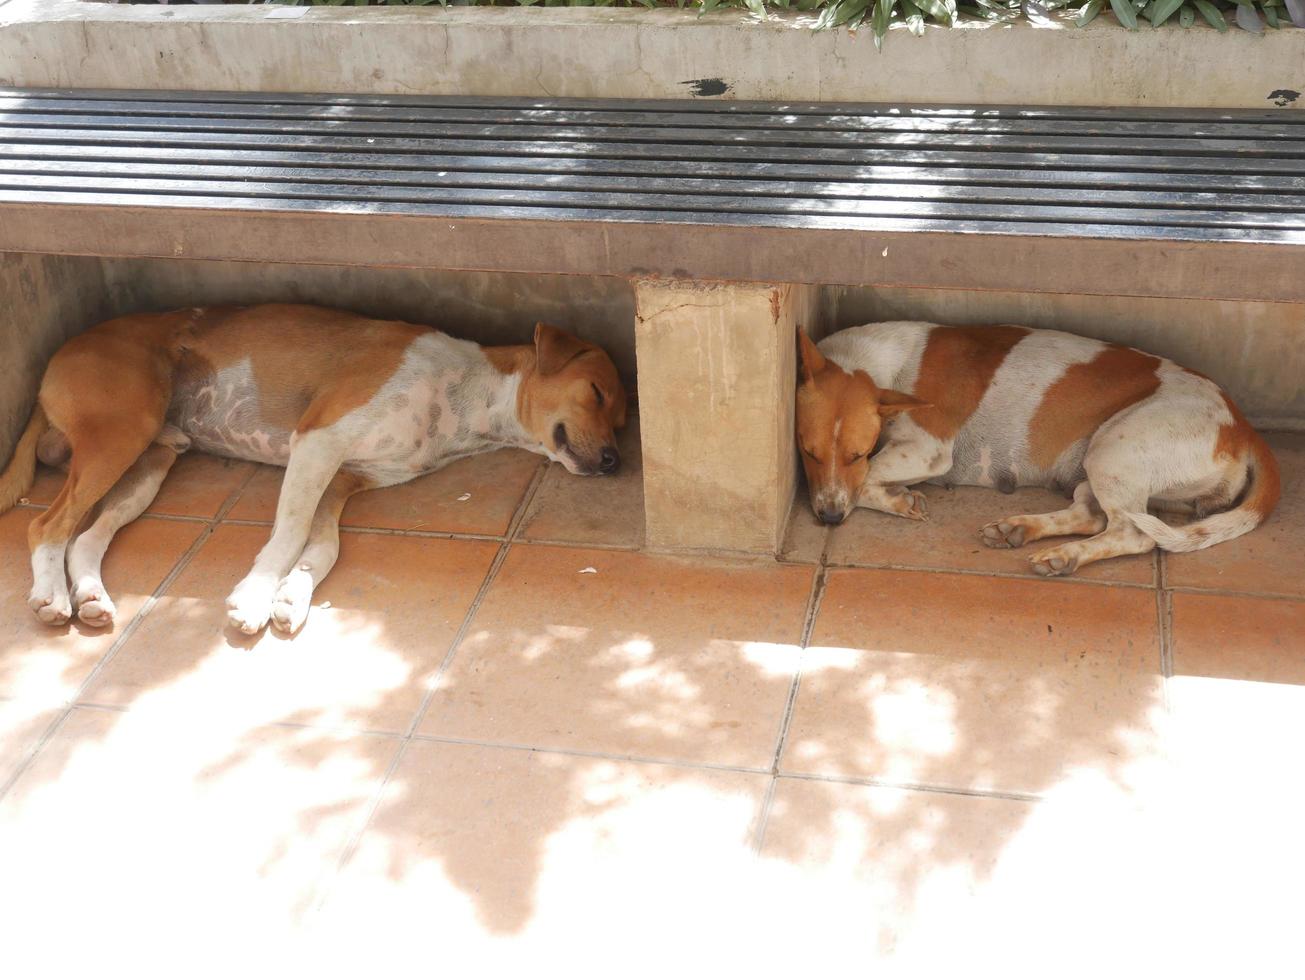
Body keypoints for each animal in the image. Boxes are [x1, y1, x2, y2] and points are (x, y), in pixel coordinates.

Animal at [0, 305, 631, 636]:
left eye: (623, 421)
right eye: (597, 393)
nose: (613, 461)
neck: (467, 403)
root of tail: (54, 358)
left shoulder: (348, 474)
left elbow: (323, 547)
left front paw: (292, 597)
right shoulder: (318, 440)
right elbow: (288, 536)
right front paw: (255, 596)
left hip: (149, 462)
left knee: (85, 536)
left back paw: (90, 596)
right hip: (123, 432)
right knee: (44, 526)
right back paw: (52, 597)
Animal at [788, 322, 1278, 574]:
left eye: (855, 454)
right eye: (807, 452)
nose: (829, 519)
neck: (872, 364)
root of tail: (1242, 424)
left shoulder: (929, 449)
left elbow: (867, 478)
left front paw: (898, 500)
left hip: (1112, 451)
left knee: (1132, 533)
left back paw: (1065, 556)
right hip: (1097, 466)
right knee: (1089, 515)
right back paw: (1019, 529)